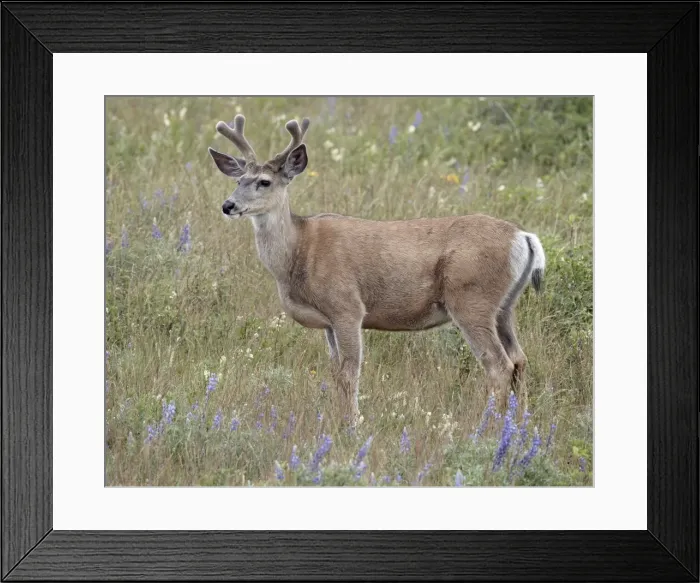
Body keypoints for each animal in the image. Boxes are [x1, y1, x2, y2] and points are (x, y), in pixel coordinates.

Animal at [208, 114, 545, 427]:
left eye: (264, 181)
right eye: (238, 180)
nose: (228, 205)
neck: (298, 252)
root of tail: (523, 236)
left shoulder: (347, 307)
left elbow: (349, 373)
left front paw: (352, 424)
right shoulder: (329, 322)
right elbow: (335, 372)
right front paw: (339, 419)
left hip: (471, 299)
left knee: (499, 364)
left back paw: (488, 425)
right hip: (504, 307)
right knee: (519, 359)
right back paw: (519, 422)